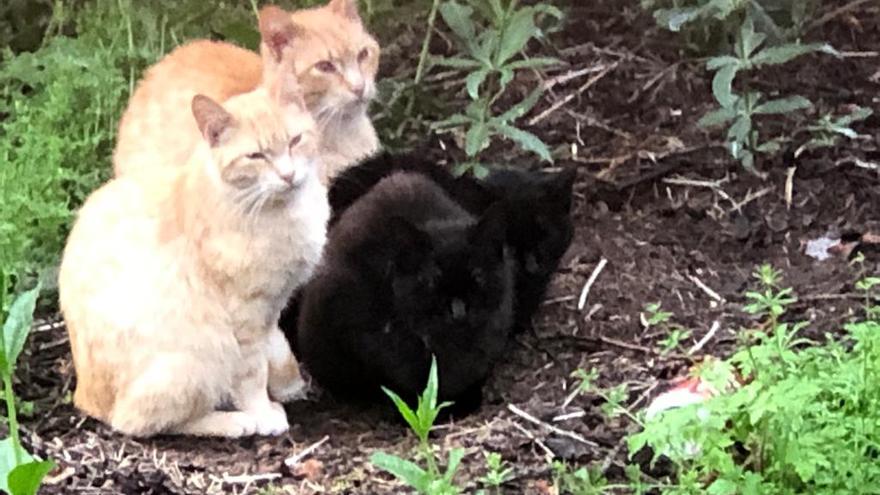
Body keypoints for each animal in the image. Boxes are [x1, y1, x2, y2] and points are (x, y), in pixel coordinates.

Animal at [58, 63, 328, 438]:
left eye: (295, 140)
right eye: (256, 156)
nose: (288, 176)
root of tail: (84, 398)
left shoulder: (272, 307)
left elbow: (275, 349)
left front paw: (287, 387)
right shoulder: (247, 314)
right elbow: (252, 372)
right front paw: (261, 412)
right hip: (195, 360)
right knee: (137, 422)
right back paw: (233, 421)